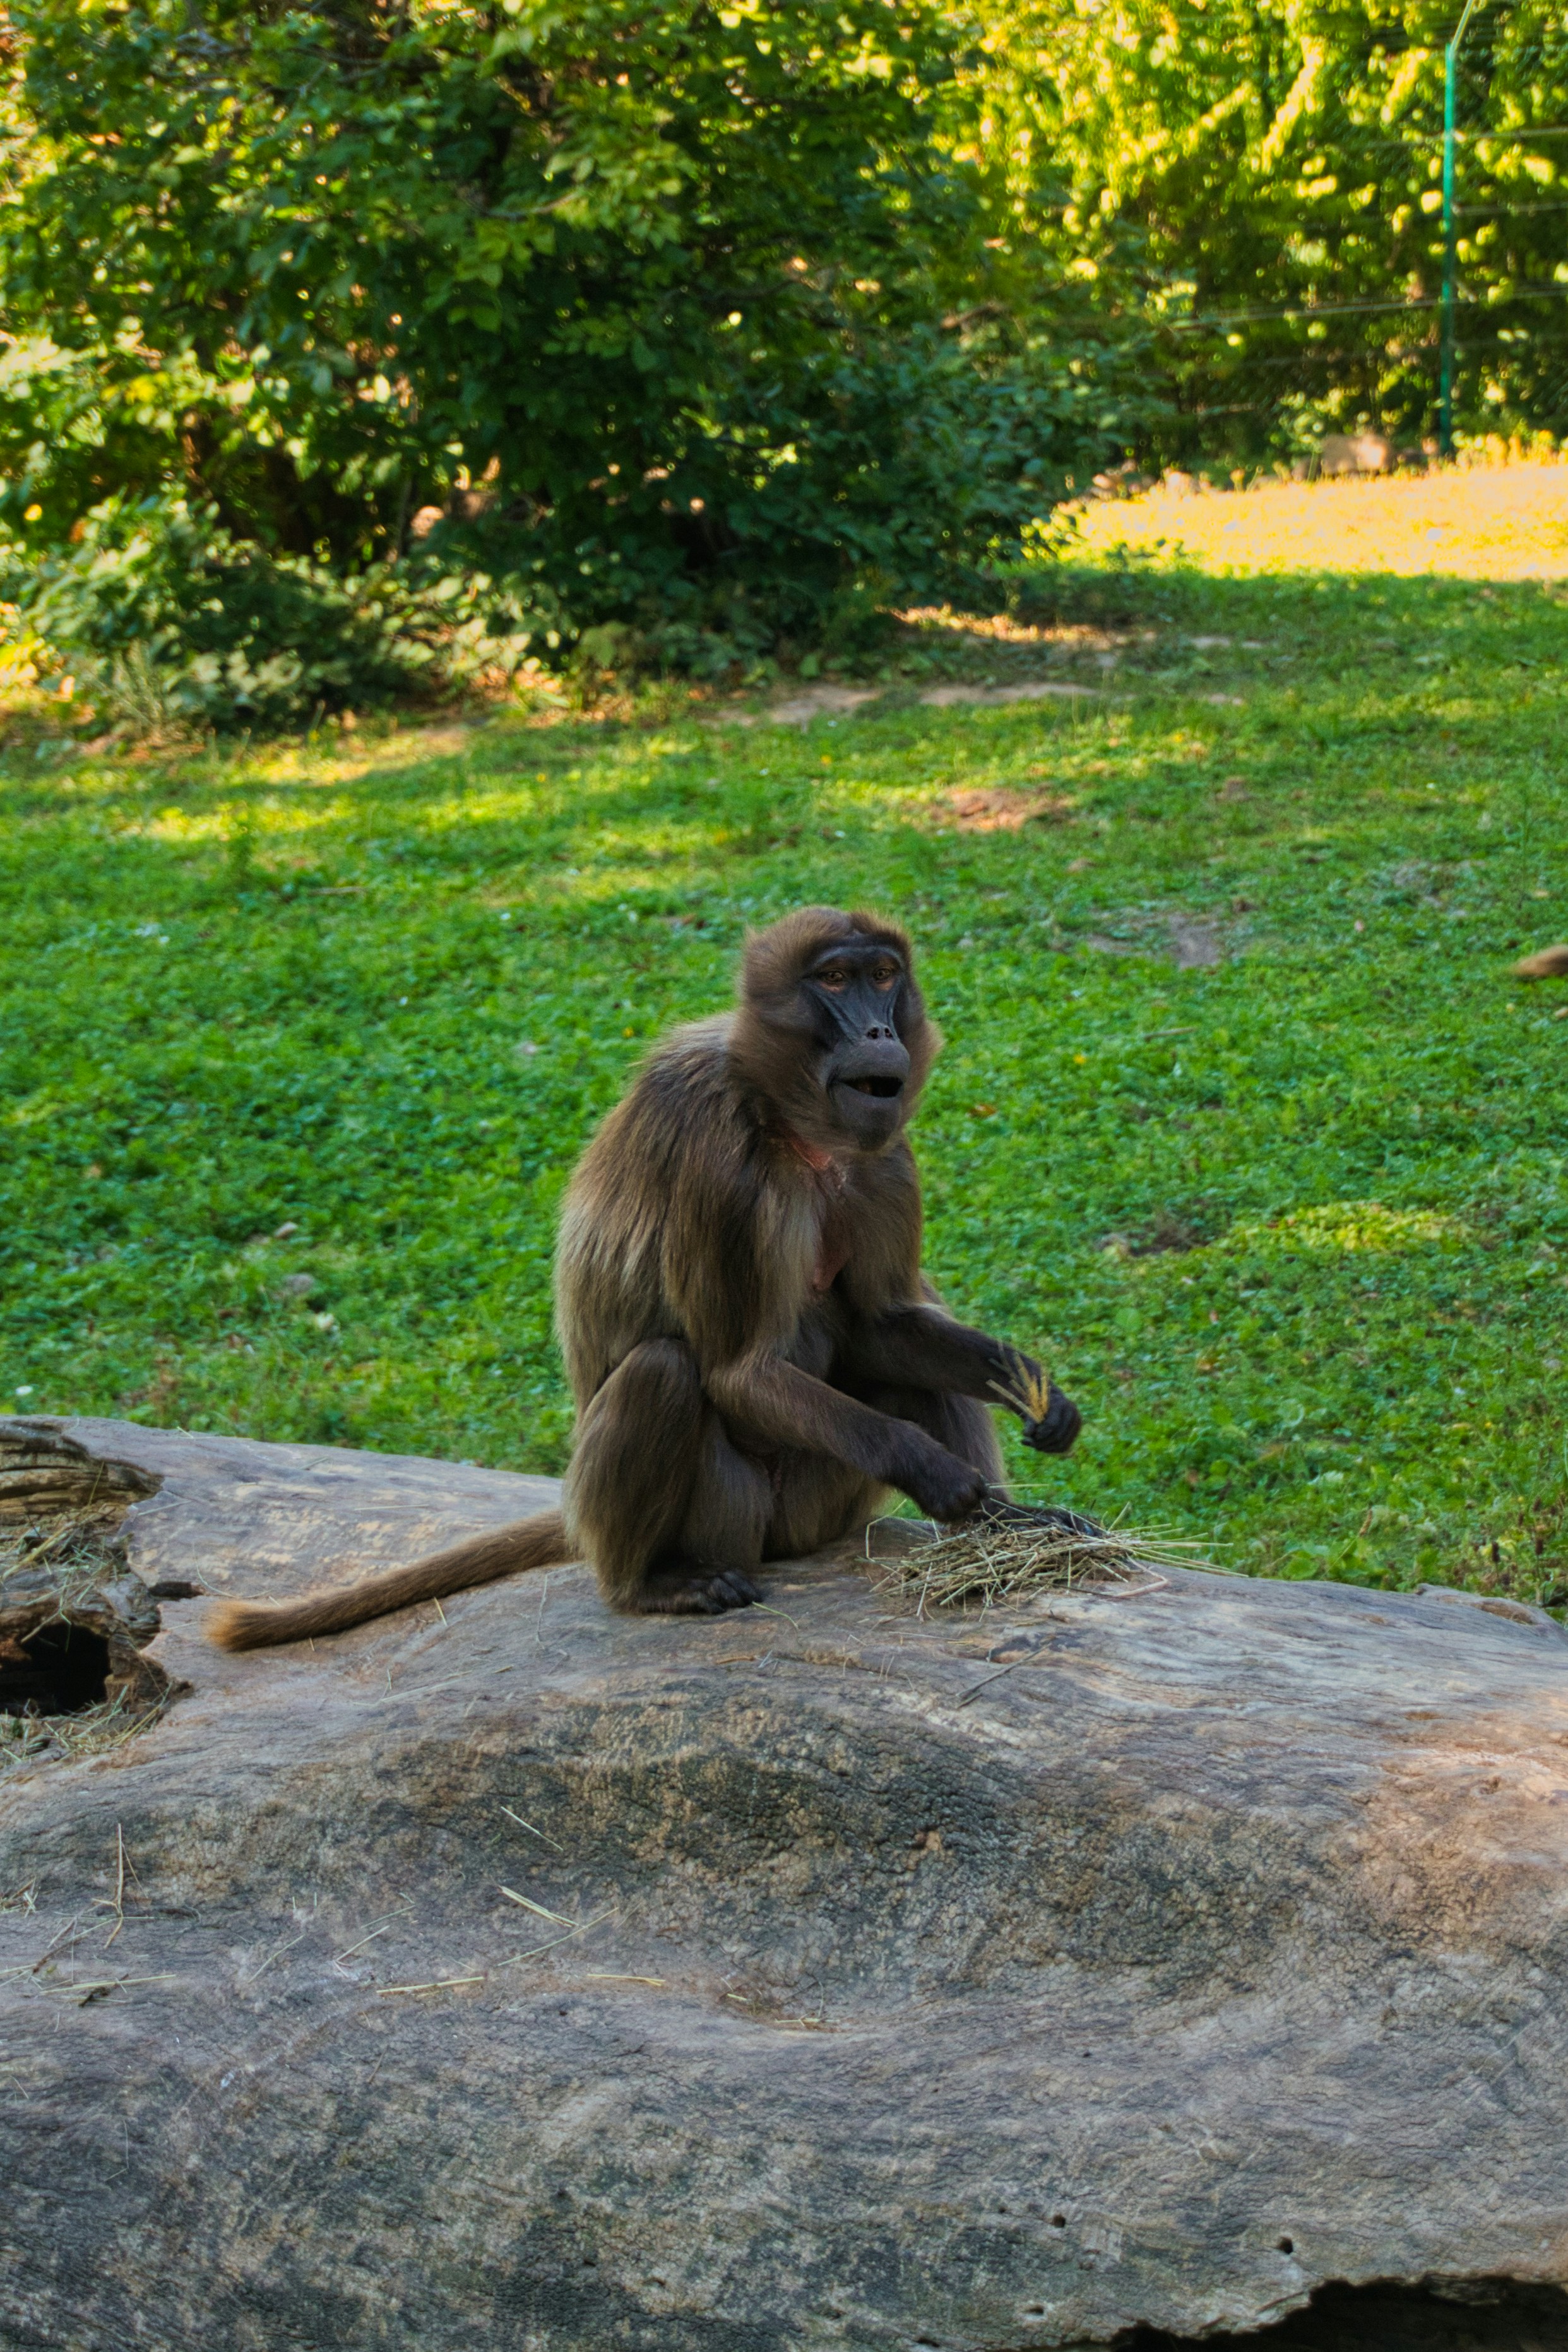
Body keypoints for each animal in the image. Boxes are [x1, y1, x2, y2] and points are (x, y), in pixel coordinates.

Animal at [208, 906, 1082, 1651]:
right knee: (665, 1372)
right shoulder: (723, 1171)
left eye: (885, 974)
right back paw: (644, 1588)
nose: (877, 1029)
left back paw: (1004, 1529)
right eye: (835, 980)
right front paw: (934, 1470)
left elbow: (885, 1324)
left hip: (819, 1503)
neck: (793, 1128)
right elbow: (738, 1371)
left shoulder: (884, 1162)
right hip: (739, 1520)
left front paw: (1029, 1389)